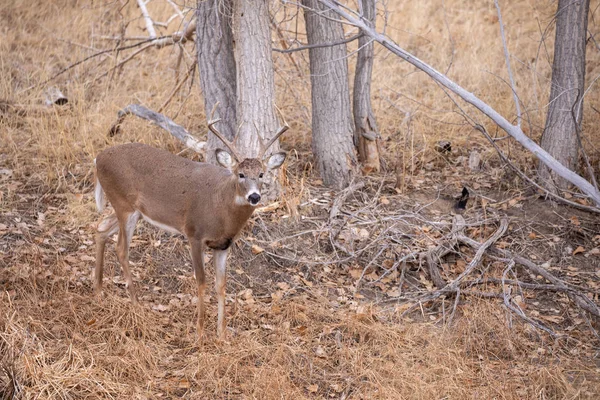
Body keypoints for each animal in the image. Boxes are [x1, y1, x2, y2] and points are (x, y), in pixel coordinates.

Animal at [93, 112, 288, 338]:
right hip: (124, 205)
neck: (220, 209)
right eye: (240, 174)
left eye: (261, 174)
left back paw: (99, 290)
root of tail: (98, 158)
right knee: (121, 249)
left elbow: (221, 285)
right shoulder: (194, 233)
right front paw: (200, 331)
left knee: (101, 228)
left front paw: (222, 335)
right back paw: (135, 305)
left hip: (132, 210)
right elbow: (201, 281)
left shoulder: (223, 245)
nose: (254, 196)